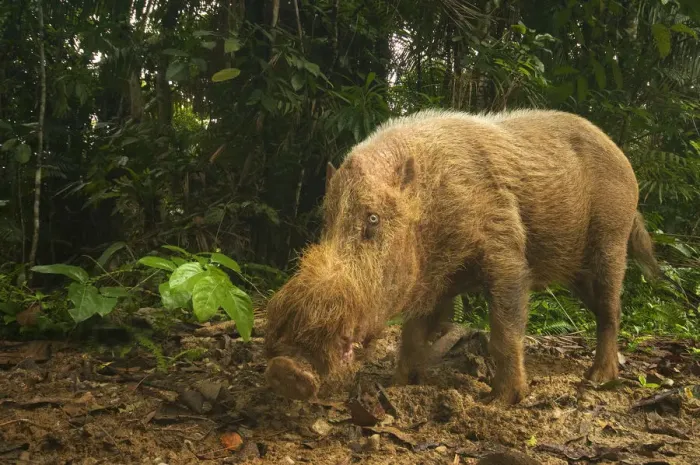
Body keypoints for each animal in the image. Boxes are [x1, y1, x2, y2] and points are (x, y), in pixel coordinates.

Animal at [263, 108, 659, 404]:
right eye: (325, 221)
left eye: (372, 219)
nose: (285, 369)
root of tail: (626, 162)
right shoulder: (433, 282)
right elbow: (413, 332)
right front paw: (397, 386)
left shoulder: (507, 250)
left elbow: (505, 330)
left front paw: (501, 402)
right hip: (575, 270)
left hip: (611, 238)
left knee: (611, 308)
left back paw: (597, 379)